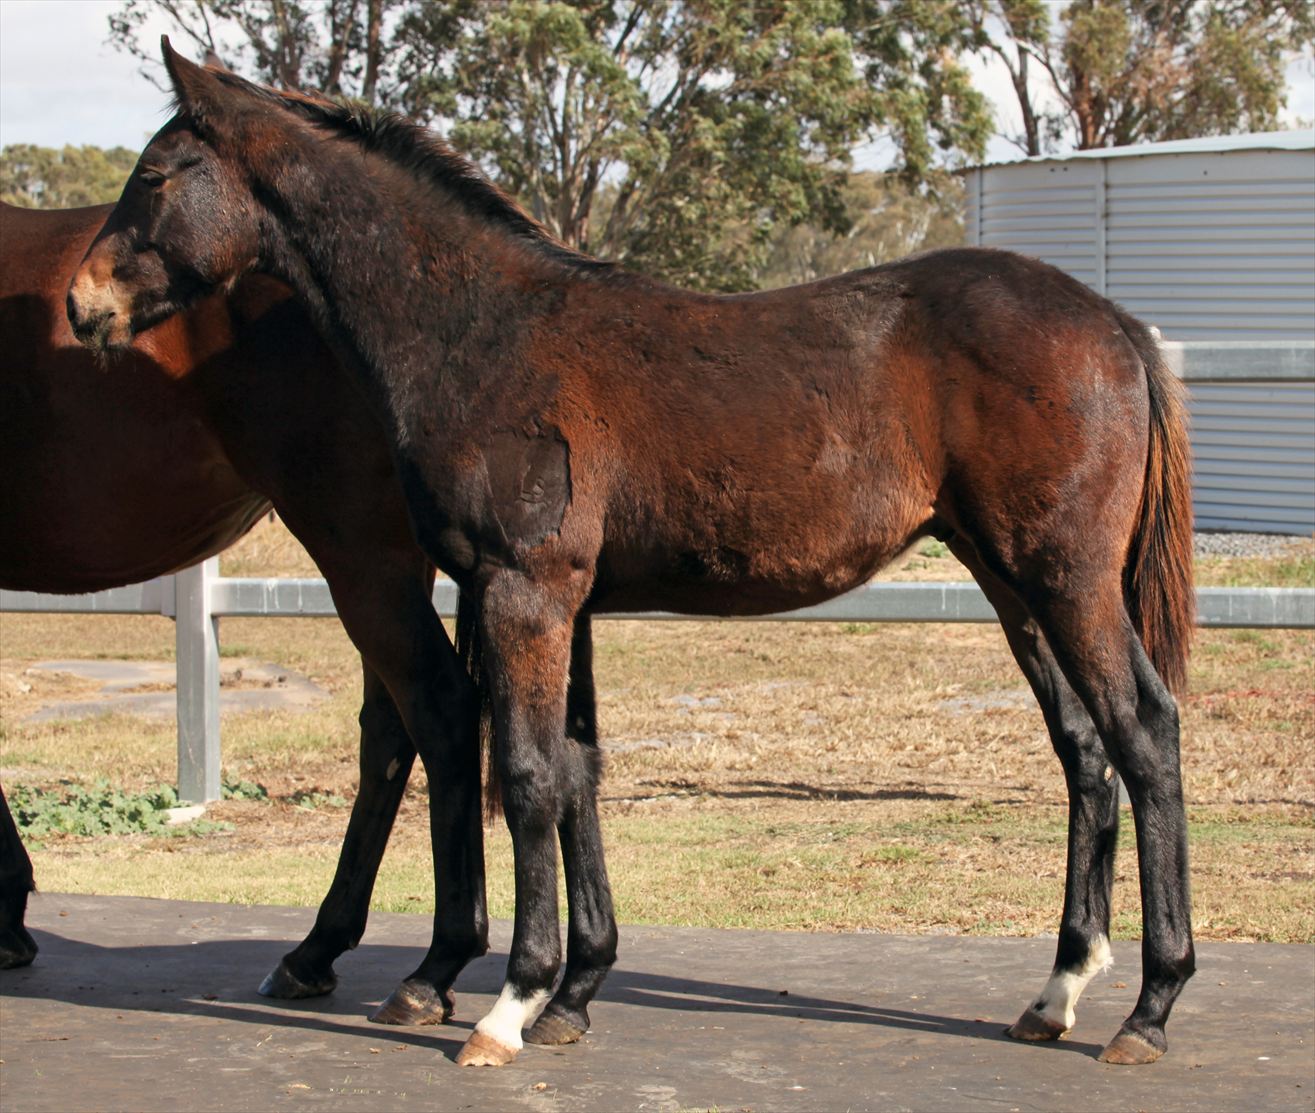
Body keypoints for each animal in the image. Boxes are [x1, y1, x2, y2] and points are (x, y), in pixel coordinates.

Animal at [68, 41, 1196, 1069]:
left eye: (156, 173)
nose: (83, 306)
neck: (481, 332)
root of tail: (1115, 326)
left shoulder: (522, 590)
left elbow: (526, 774)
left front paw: (508, 1007)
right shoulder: (557, 603)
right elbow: (578, 770)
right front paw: (572, 994)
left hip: (1066, 581)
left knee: (1142, 733)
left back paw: (1149, 1008)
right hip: (1010, 585)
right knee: (1083, 750)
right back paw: (1057, 993)